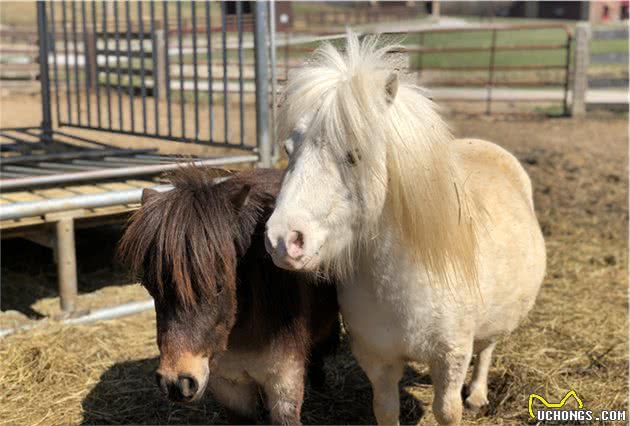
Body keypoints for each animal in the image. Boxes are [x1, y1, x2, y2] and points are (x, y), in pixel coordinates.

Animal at [264, 33, 544, 426]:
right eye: (289, 150)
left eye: (355, 154)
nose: (282, 240)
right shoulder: (377, 360)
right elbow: (385, 409)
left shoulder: (450, 358)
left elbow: (447, 411)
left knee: (488, 348)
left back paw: (477, 394)